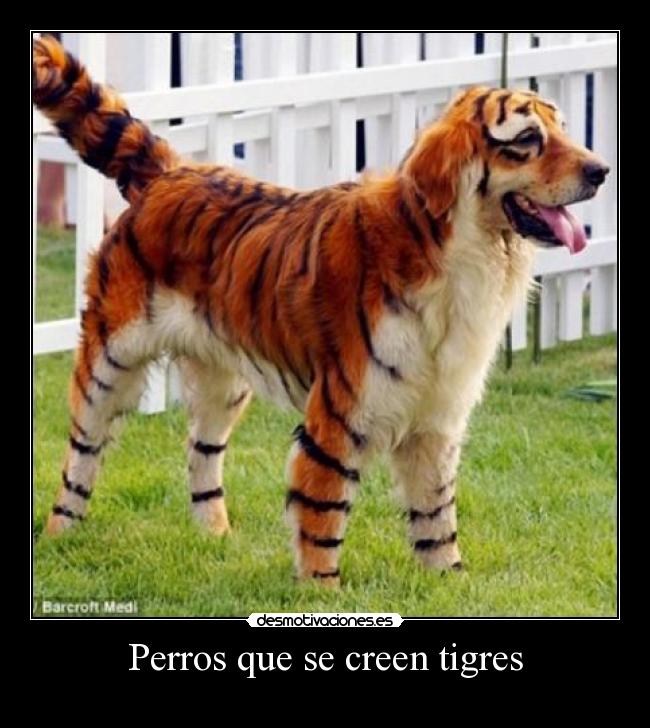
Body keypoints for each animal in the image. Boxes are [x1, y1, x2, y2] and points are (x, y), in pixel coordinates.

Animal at [33, 35, 609, 587]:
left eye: (563, 129)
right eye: (528, 140)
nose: (602, 170)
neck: (465, 256)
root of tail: (169, 172)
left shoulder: (439, 416)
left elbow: (436, 514)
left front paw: (450, 583)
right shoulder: (339, 415)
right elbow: (323, 515)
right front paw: (322, 590)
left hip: (223, 382)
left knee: (201, 452)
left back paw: (215, 538)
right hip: (109, 363)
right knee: (81, 453)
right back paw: (61, 538)